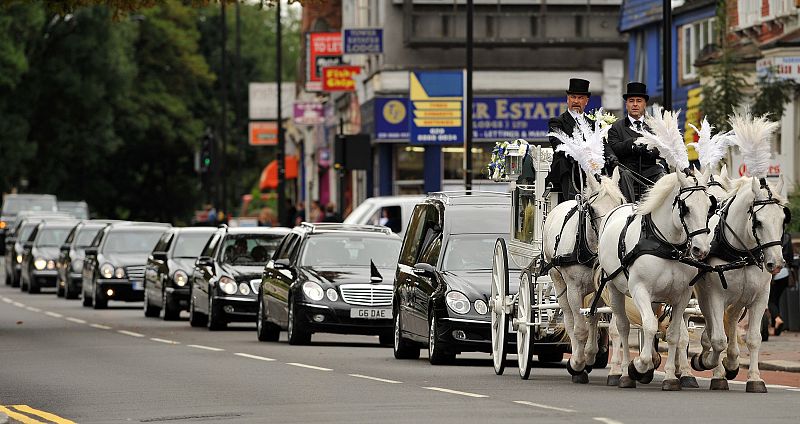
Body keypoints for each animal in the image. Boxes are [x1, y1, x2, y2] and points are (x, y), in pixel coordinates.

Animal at [544, 167, 624, 382]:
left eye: (620, 203)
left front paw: (591, 357)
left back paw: (589, 353)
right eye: (593, 210)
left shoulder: (607, 286)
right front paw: (577, 364)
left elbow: (606, 323)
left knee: (593, 316)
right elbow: (578, 328)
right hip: (559, 281)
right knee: (570, 318)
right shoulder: (574, 289)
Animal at [600, 170, 712, 390]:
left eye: (709, 206)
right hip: (614, 288)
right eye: (685, 207)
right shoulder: (639, 290)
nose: (700, 249)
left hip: (655, 299)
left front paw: (669, 376)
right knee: (623, 327)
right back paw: (623, 373)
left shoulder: (682, 296)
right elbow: (650, 326)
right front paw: (638, 366)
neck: (667, 246)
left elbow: (673, 334)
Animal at [692, 175, 784, 390]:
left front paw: (754, 378)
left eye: (784, 219)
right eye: (758, 222)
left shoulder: (760, 297)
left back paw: (732, 361)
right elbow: (718, 339)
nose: (776, 263)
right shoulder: (716, 296)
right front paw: (713, 367)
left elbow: (754, 339)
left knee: (732, 320)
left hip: (740, 297)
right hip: (704, 295)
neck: (741, 254)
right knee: (712, 328)